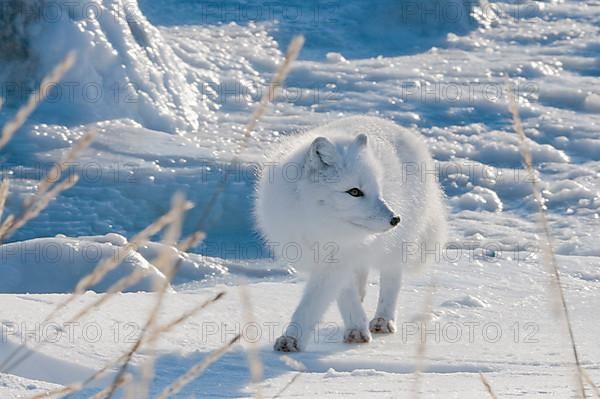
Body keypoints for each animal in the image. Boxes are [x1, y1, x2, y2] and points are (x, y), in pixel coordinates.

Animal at [253, 116, 446, 354]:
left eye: (378, 190)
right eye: (354, 192)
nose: (395, 219)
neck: (318, 225)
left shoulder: (337, 260)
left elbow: (312, 302)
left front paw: (292, 339)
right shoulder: (332, 257)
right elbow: (344, 293)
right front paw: (356, 326)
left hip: (396, 247)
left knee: (391, 280)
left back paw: (383, 320)